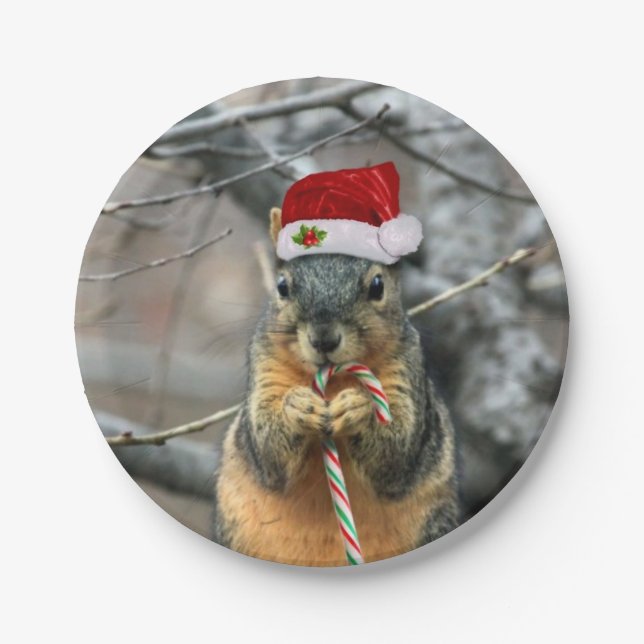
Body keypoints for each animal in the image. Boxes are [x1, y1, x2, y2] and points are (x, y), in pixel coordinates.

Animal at [213, 166, 460, 566]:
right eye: (282, 286)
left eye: (377, 286)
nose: (324, 340)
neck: (332, 383)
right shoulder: (265, 369)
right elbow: (267, 450)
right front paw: (297, 407)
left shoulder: (405, 373)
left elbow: (398, 452)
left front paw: (358, 407)